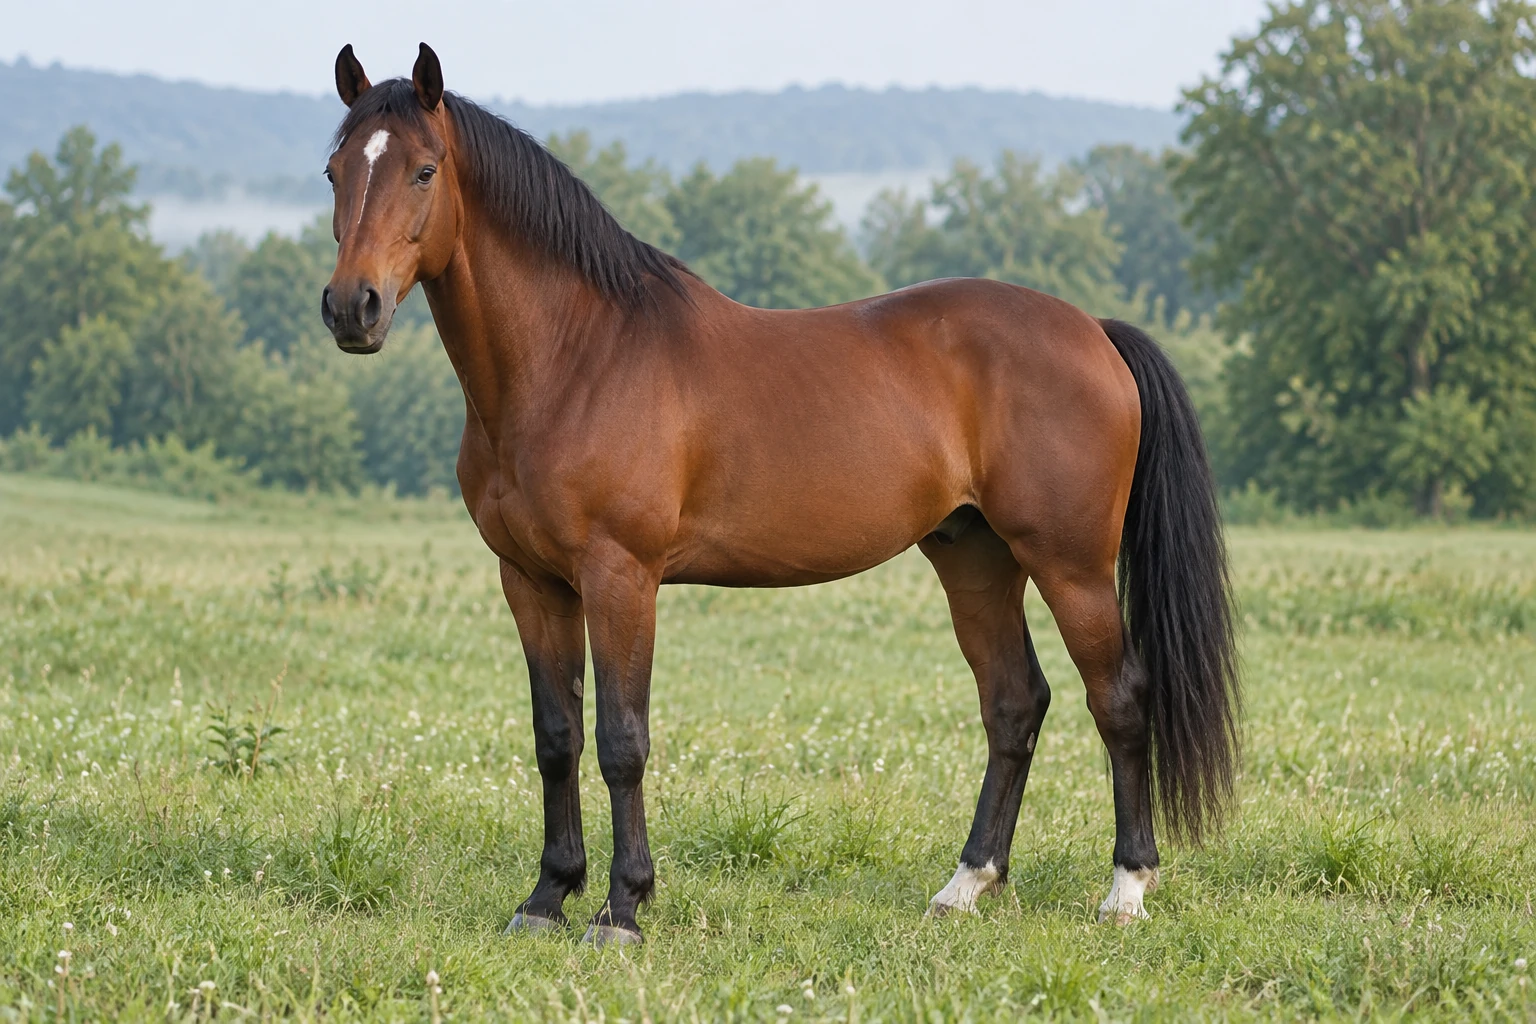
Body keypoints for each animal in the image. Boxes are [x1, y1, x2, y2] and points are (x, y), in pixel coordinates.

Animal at [320, 43, 1239, 946]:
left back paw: (1126, 889)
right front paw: (547, 899)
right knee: (1014, 705)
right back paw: (965, 886)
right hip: (975, 559)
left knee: (1119, 699)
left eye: (425, 171)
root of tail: (1093, 331)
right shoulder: (531, 581)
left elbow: (621, 740)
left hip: (1070, 564)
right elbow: (557, 737)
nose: (351, 308)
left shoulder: (621, 577)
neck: (576, 359)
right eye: (334, 170)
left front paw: (622, 910)